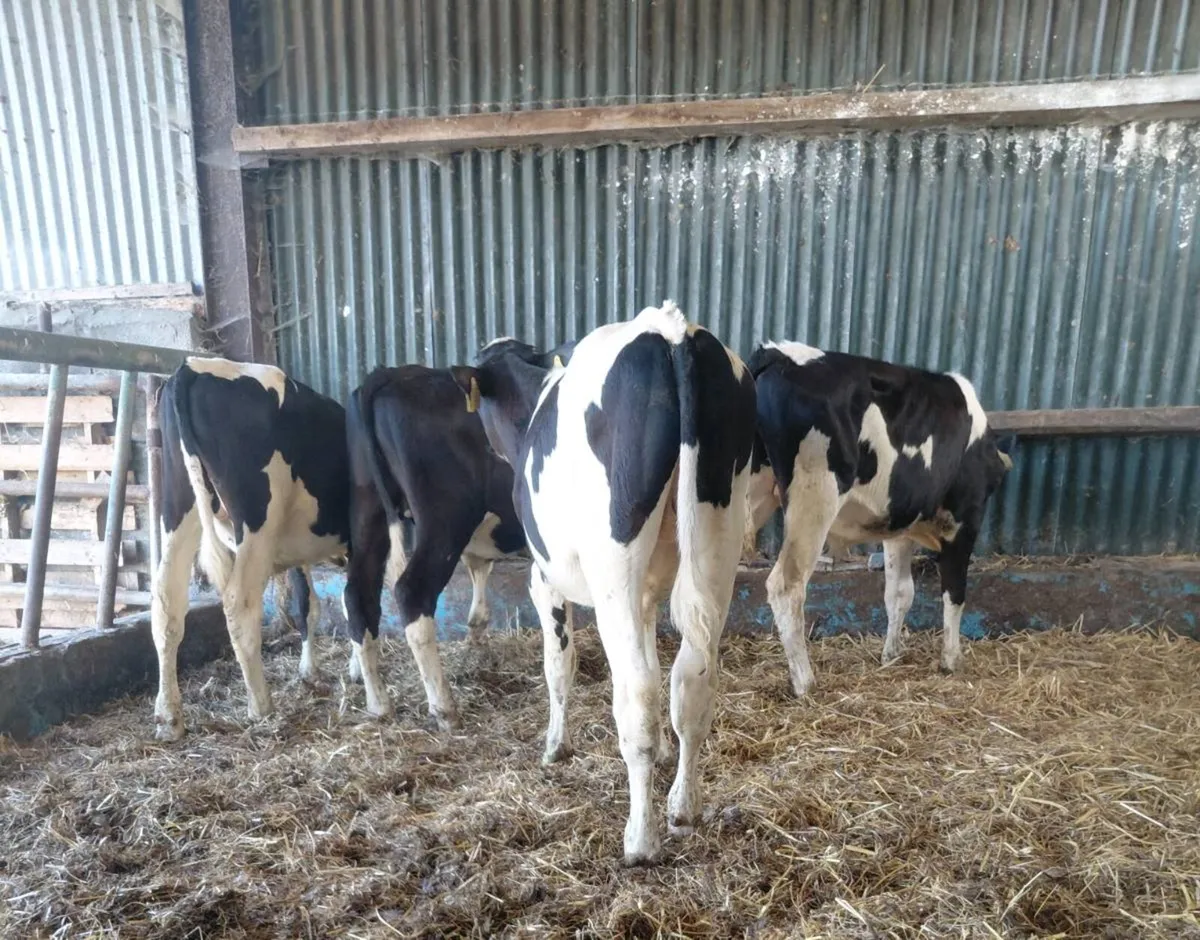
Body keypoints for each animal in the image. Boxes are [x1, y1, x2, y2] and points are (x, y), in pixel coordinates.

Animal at [150, 357, 354, 741]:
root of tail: (192, 367)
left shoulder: (299, 550)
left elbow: (308, 605)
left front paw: (310, 670)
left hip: (178, 506)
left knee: (166, 601)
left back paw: (169, 716)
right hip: (257, 519)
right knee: (239, 603)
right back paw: (260, 705)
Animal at [341, 341, 575, 729]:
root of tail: (389, 375)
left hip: (367, 509)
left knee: (358, 594)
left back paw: (378, 701)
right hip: (444, 518)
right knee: (411, 592)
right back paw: (443, 706)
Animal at [448, 302, 757, 866]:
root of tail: (670, 331)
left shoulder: (544, 579)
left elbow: (559, 664)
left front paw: (555, 746)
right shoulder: (648, 593)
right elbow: (656, 658)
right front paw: (663, 755)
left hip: (614, 565)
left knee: (636, 691)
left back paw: (640, 839)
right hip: (717, 536)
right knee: (692, 679)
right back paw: (683, 807)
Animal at [743, 342, 1015, 697]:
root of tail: (776, 352)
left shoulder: (900, 526)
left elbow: (899, 592)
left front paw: (891, 654)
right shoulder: (964, 519)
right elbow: (954, 592)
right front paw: (952, 659)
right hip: (814, 498)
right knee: (785, 587)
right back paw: (805, 682)